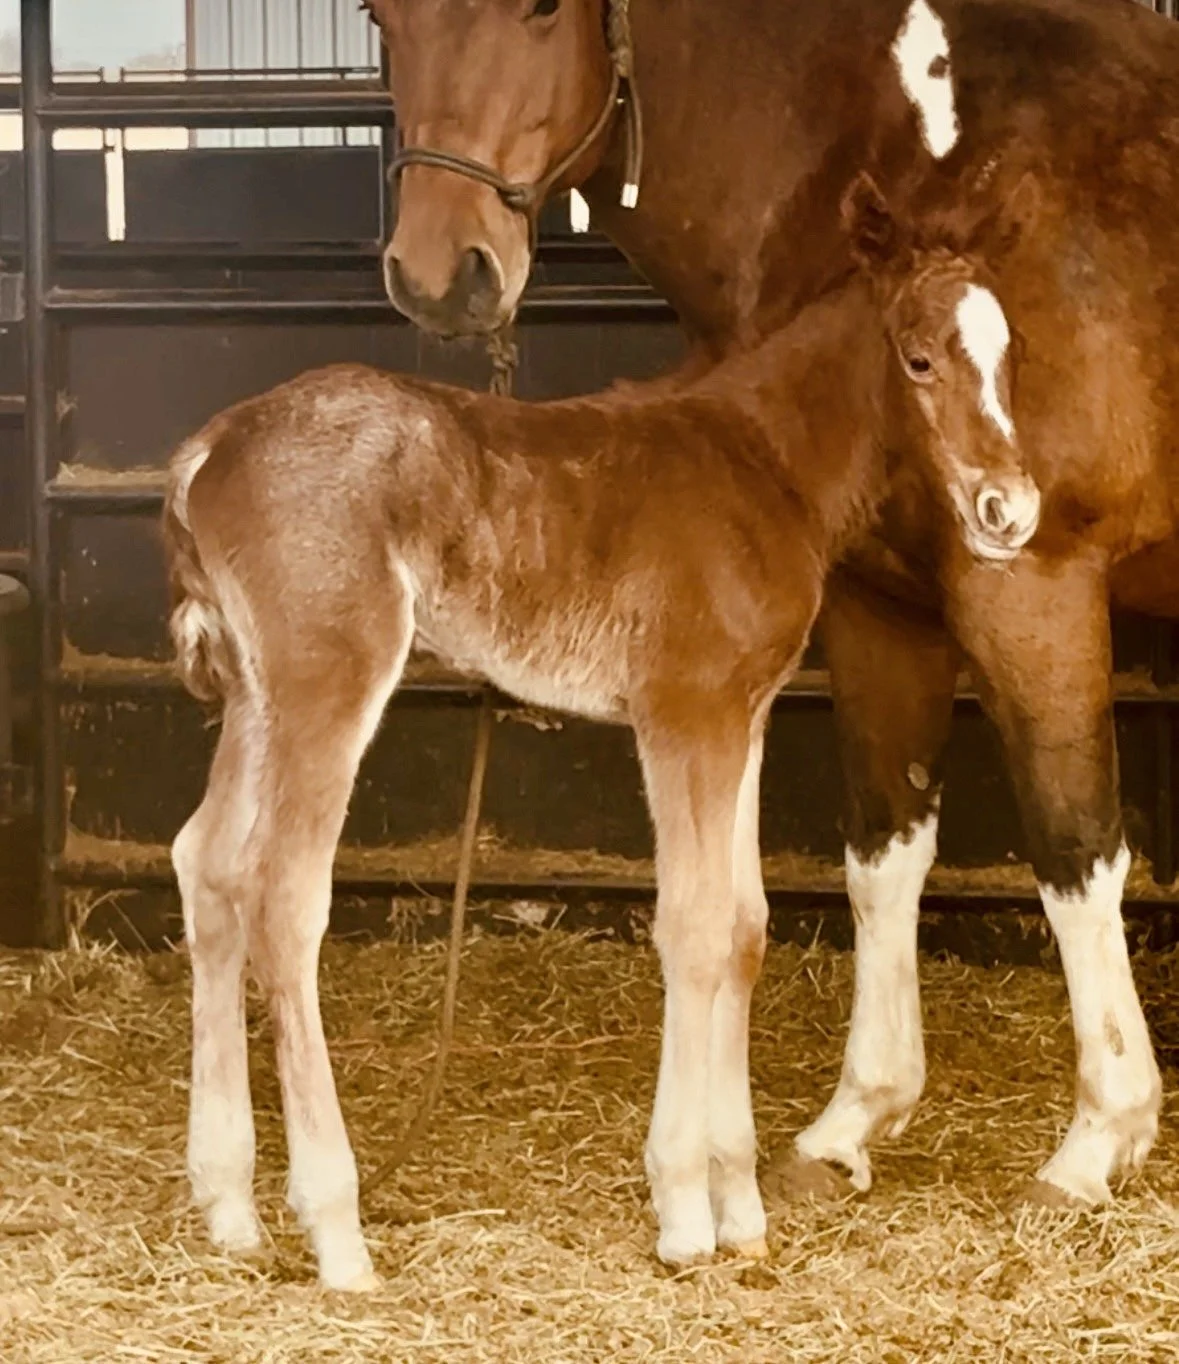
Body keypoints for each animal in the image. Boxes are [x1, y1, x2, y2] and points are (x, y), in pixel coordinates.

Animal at [164, 174, 1041, 1287]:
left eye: (1008, 353)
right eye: (919, 357)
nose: (1008, 509)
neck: (766, 463)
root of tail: (208, 451)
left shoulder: (741, 713)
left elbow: (743, 926)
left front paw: (741, 1207)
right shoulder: (681, 712)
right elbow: (693, 927)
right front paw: (683, 1211)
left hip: (254, 689)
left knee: (210, 865)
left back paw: (228, 1205)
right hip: (329, 676)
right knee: (285, 896)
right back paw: (337, 1231)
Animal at [367, 0, 1173, 1224]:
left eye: (543, 10)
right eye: (379, 18)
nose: (439, 275)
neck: (899, 139)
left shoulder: (1029, 578)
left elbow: (1076, 853)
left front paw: (1095, 1141)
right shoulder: (880, 607)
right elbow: (883, 852)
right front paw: (850, 1124)